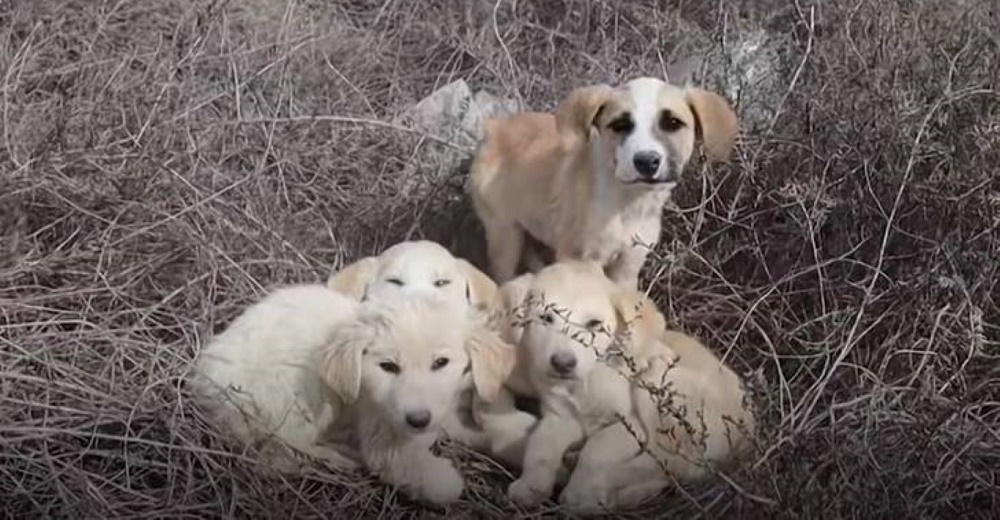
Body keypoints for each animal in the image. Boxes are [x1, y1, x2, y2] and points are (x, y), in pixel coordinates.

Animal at [190, 286, 512, 506]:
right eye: (388, 366)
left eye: (441, 363)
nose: (418, 420)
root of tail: (205, 388)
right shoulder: (382, 435)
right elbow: (438, 482)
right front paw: (446, 478)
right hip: (300, 390)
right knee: (278, 456)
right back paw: (340, 455)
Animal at [466, 77, 736, 290]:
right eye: (619, 125)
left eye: (673, 123)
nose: (646, 161)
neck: (628, 202)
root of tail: (495, 127)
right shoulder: (582, 260)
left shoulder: (629, 265)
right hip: (504, 234)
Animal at [496, 262, 752, 510]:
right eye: (545, 318)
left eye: (595, 324)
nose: (562, 364)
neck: (586, 381)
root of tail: (748, 431)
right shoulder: (562, 418)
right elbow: (540, 445)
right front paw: (531, 485)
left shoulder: (631, 425)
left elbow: (597, 448)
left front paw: (581, 491)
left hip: (658, 385)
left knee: (667, 462)